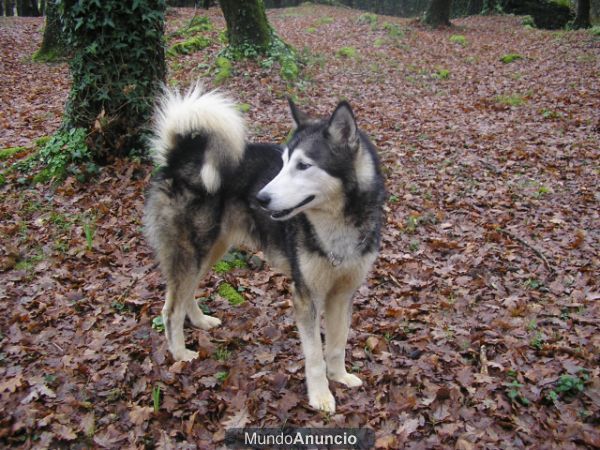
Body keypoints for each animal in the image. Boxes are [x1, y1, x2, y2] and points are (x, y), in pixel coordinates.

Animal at [143, 84, 382, 412]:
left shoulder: (342, 295)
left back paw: (201, 321)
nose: (260, 198)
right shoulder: (305, 297)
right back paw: (180, 354)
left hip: (210, 251)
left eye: (303, 165)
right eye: (283, 164)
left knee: (186, 294)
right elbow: (315, 356)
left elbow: (336, 345)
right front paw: (320, 396)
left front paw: (340, 376)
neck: (336, 227)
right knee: (170, 310)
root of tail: (181, 159)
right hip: (191, 253)